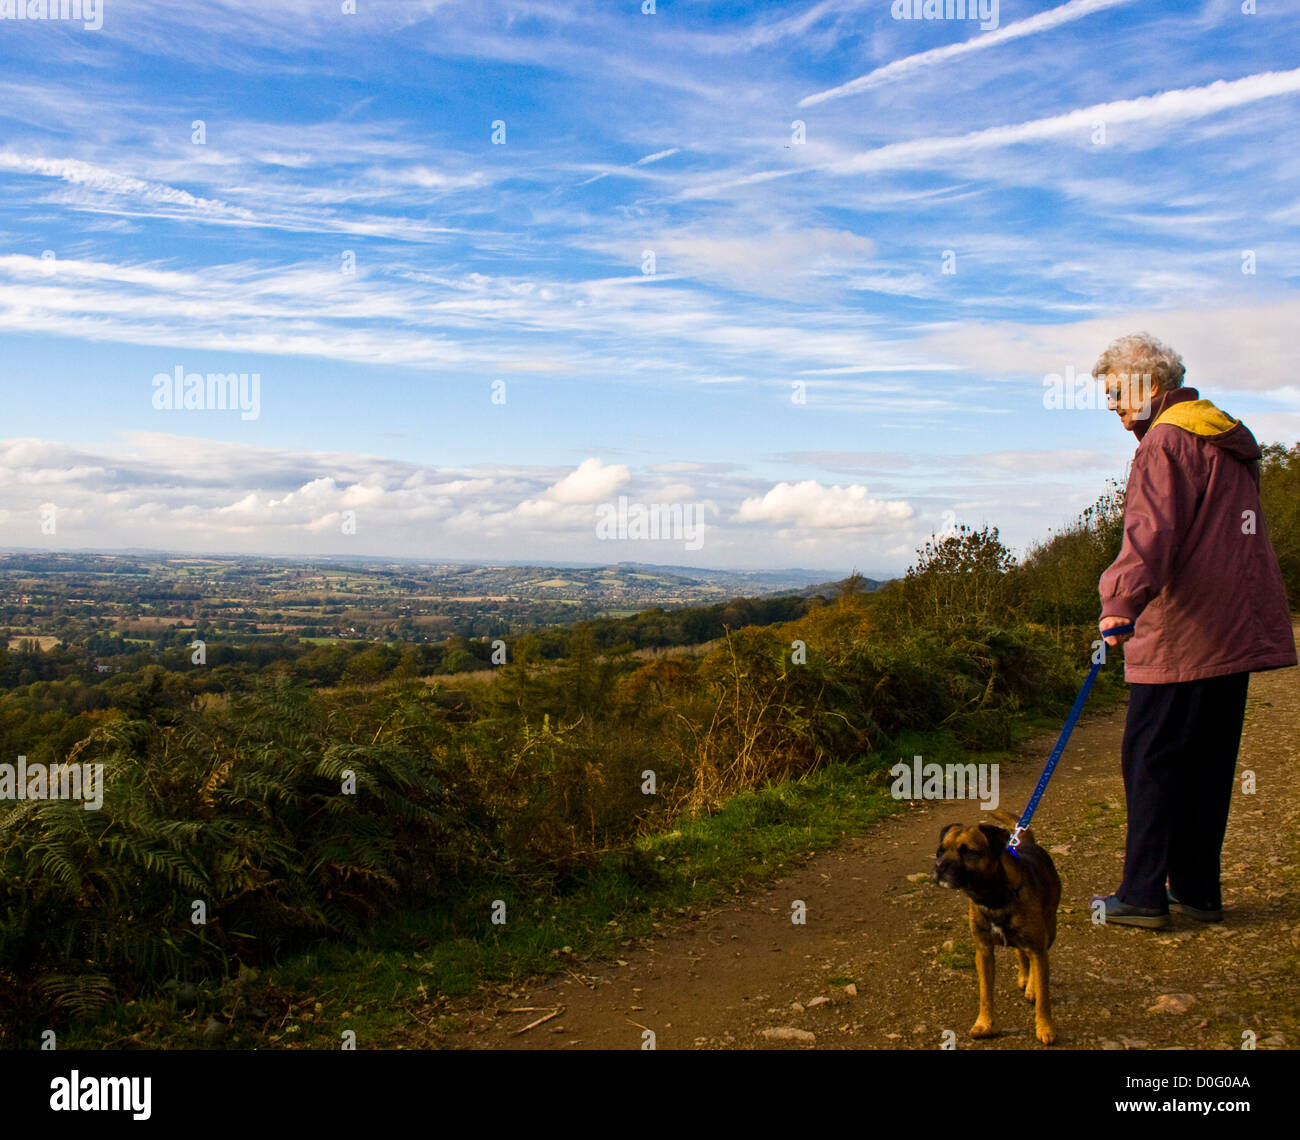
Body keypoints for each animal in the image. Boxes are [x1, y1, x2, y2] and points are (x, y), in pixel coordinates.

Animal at [941, 811, 1060, 1039]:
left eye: (968, 852)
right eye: (940, 851)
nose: (940, 866)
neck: (993, 897)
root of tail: (1028, 843)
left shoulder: (1038, 947)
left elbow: (1043, 997)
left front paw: (1045, 1027)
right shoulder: (984, 951)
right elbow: (985, 993)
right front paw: (985, 1023)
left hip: (1048, 932)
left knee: (1034, 961)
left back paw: (1031, 986)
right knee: (1021, 954)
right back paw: (1024, 977)